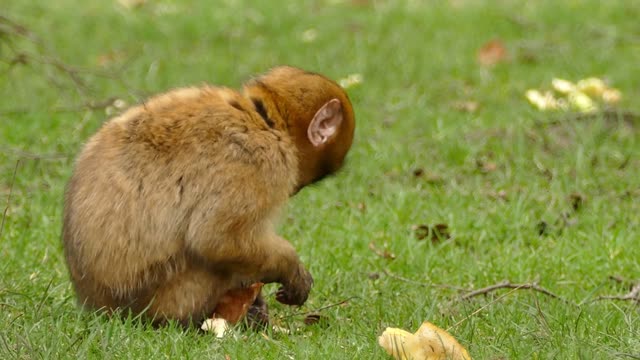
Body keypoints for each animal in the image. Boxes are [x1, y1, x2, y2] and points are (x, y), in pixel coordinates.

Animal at [61, 66, 356, 328]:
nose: (296, 188)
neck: (263, 119)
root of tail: (99, 306)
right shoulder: (259, 162)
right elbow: (215, 239)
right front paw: (291, 268)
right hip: (172, 297)